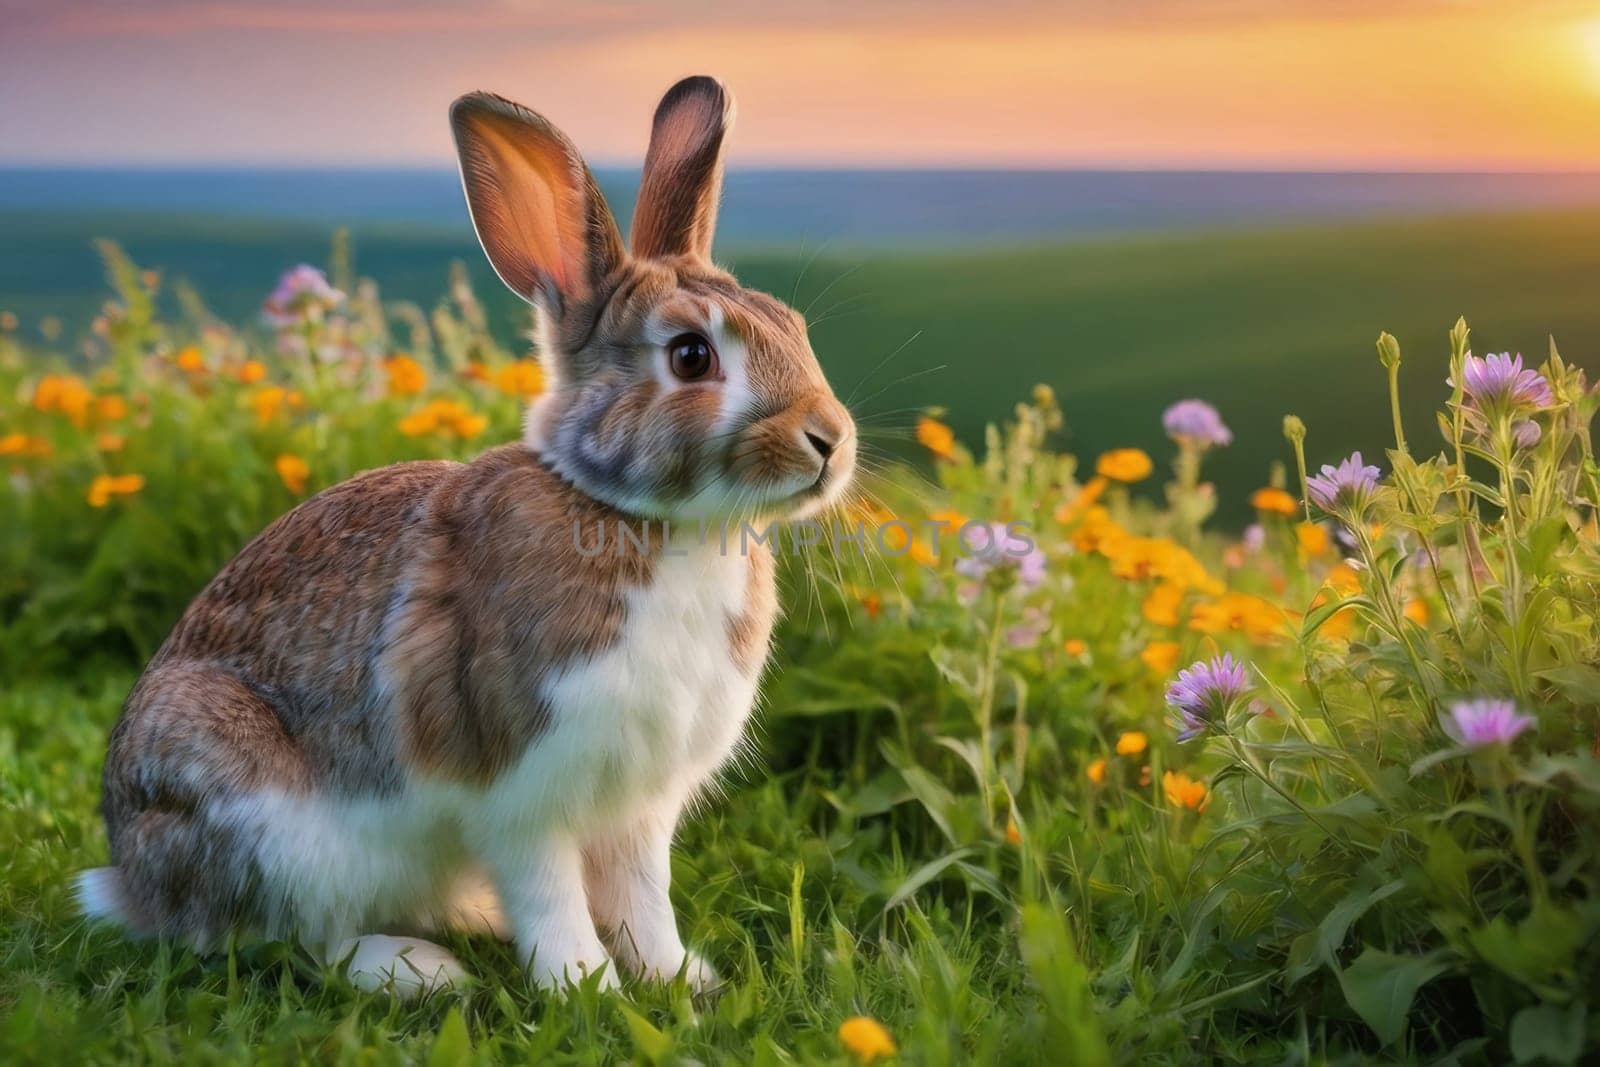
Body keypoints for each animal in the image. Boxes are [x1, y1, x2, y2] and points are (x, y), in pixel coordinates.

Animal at [75, 77, 857, 1004]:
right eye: (692, 355)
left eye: (794, 325)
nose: (831, 439)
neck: (650, 520)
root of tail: (131, 877)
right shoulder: (520, 789)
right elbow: (550, 889)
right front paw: (584, 987)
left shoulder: (637, 806)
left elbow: (643, 893)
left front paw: (676, 979)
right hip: (270, 827)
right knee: (289, 938)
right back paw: (422, 969)